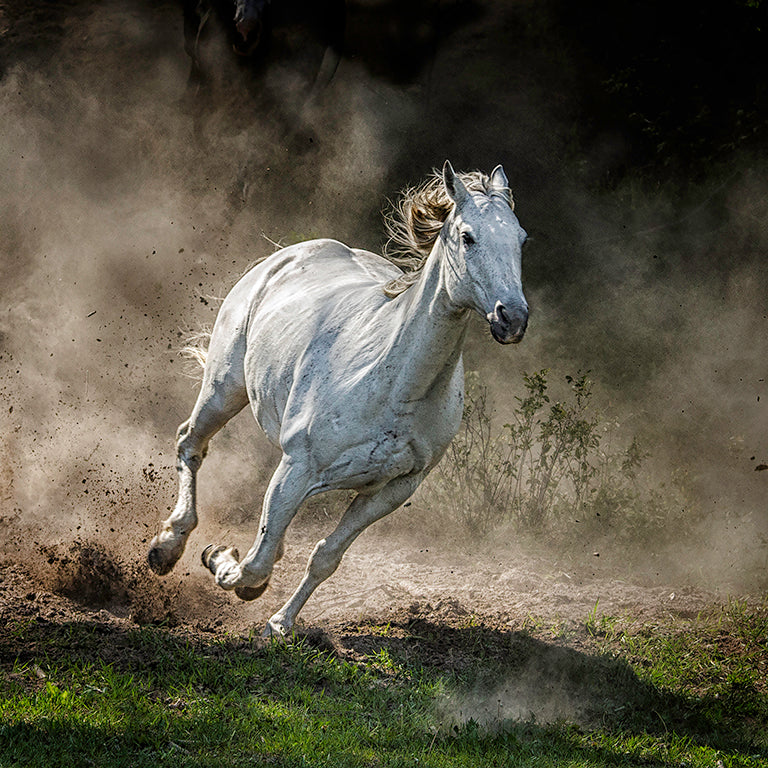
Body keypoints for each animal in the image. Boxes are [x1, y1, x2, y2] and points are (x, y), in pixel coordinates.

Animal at [147, 165, 528, 640]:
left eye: (521, 238)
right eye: (467, 236)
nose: (513, 317)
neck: (393, 384)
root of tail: (288, 256)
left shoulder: (392, 490)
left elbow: (324, 557)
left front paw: (278, 624)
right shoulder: (296, 469)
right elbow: (256, 561)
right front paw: (220, 560)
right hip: (224, 386)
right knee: (190, 444)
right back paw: (166, 547)